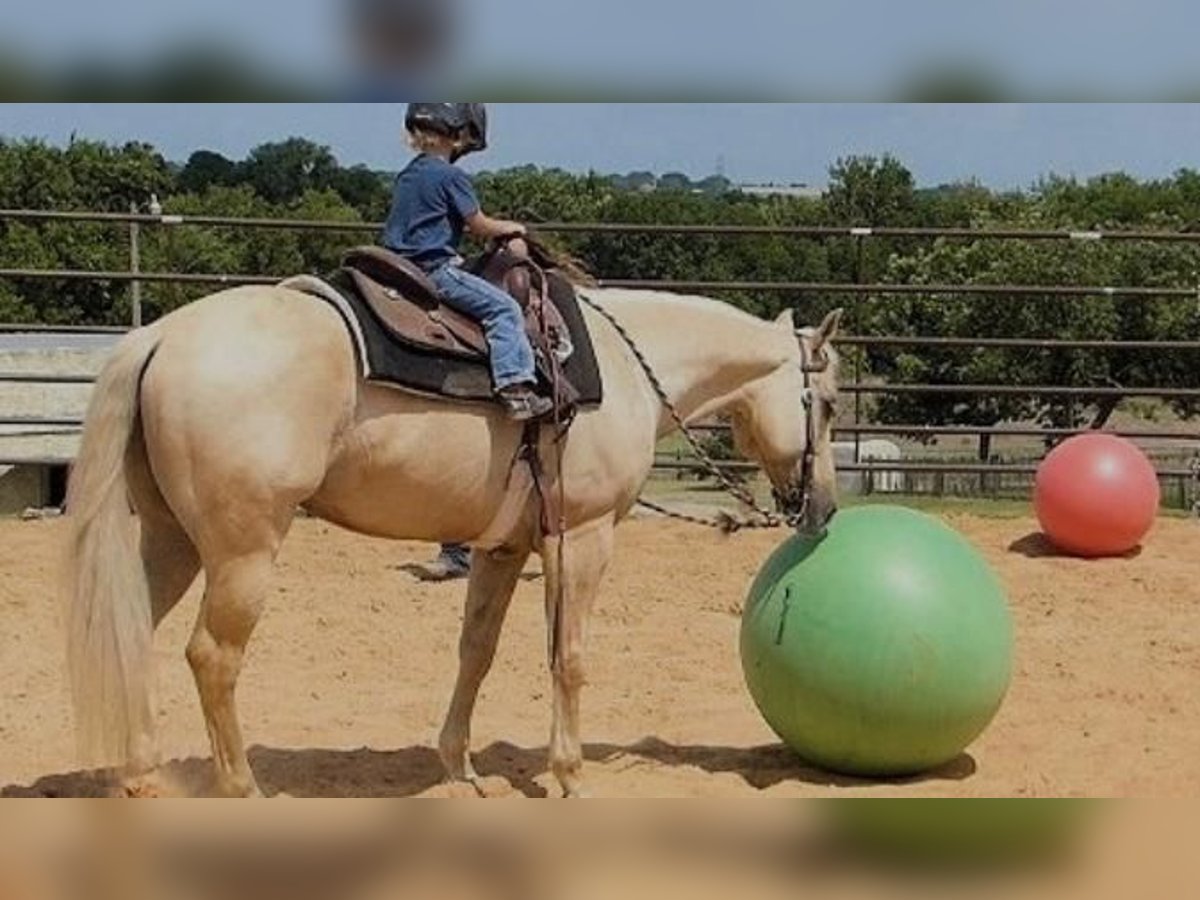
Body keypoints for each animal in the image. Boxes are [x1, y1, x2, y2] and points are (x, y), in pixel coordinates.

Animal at [62, 282, 842, 798]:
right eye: (831, 403)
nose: (826, 507)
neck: (625, 371)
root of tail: (161, 337)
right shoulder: (583, 538)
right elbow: (569, 657)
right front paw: (568, 774)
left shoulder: (503, 548)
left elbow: (478, 653)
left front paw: (459, 768)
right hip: (242, 552)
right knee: (213, 658)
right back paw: (241, 786)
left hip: (172, 541)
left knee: (133, 632)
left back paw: (141, 777)